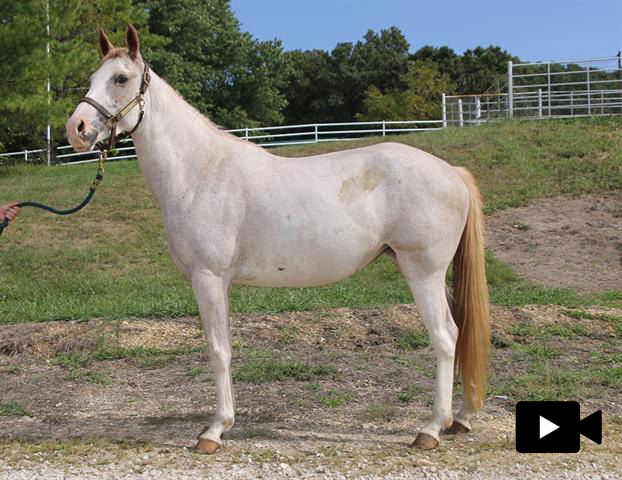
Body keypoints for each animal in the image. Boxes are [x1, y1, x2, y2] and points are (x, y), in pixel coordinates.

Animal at [66, 26, 490, 454]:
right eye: (91, 77)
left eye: (121, 78)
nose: (77, 128)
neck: (200, 171)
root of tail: (452, 173)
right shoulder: (218, 282)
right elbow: (225, 347)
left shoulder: (208, 277)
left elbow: (218, 351)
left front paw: (214, 431)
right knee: (461, 333)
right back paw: (461, 419)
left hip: (423, 273)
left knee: (445, 338)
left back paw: (432, 428)